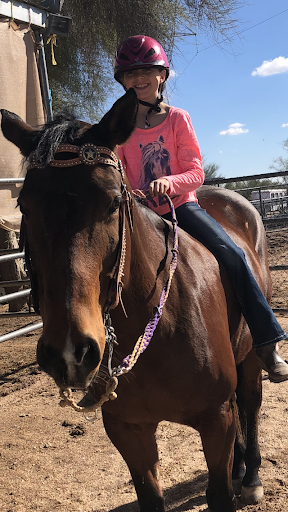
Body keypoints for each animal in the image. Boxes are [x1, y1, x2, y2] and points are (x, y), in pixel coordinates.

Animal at [0, 88, 266, 512]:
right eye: (25, 205)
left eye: (112, 202)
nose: (70, 352)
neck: (158, 322)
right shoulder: (129, 430)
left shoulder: (216, 421)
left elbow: (220, 492)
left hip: (252, 359)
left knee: (251, 404)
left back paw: (252, 475)